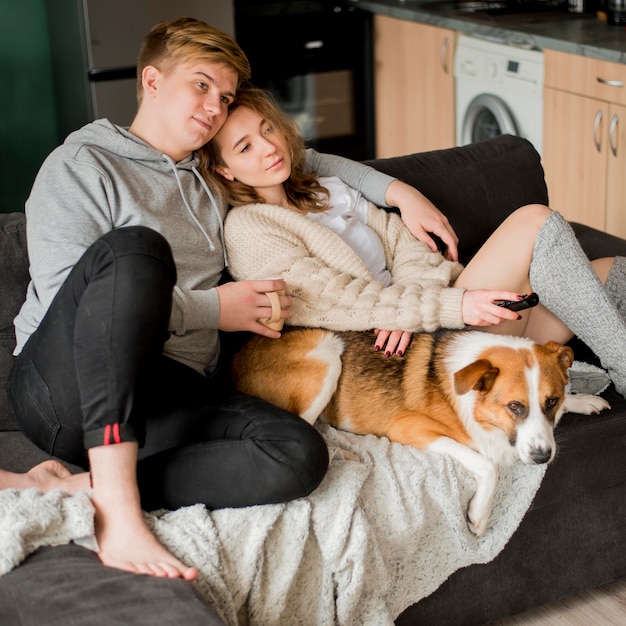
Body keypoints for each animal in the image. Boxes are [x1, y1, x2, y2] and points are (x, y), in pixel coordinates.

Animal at [228, 326, 604, 536]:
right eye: (515, 407)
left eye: (551, 401)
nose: (543, 457)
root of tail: (236, 359)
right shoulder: (410, 428)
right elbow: (488, 465)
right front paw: (479, 515)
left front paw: (582, 399)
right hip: (326, 352)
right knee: (307, 431)